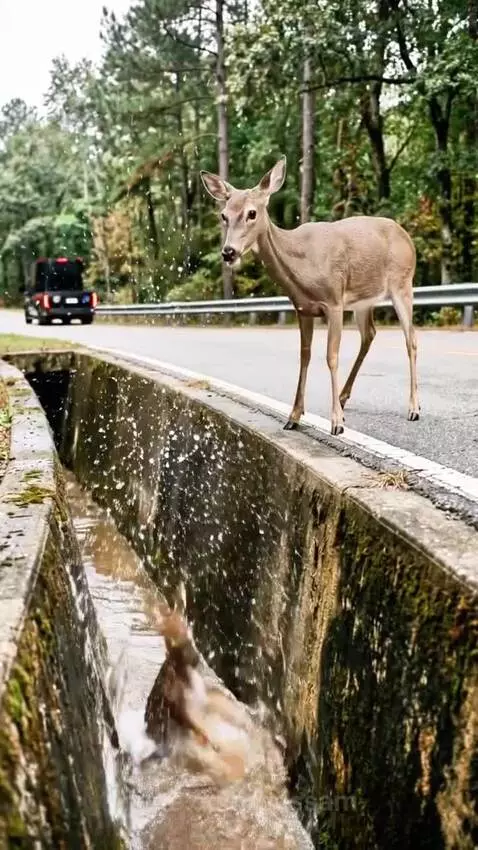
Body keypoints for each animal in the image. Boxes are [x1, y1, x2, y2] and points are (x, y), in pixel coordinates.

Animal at [200, 157, 420, 436]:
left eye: (251, 213)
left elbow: (331, 356)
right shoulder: (303, 309)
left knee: (411, 340)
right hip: (364, 301)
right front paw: (294, 416)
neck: (302, 267)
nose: (228, 252)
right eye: (223, 215)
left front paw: (336, 423)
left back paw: (413, 408)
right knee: (369, 334)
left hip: (403, 284)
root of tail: (407, 237)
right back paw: (344, 397)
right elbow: (304, 356)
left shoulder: (334, 301)